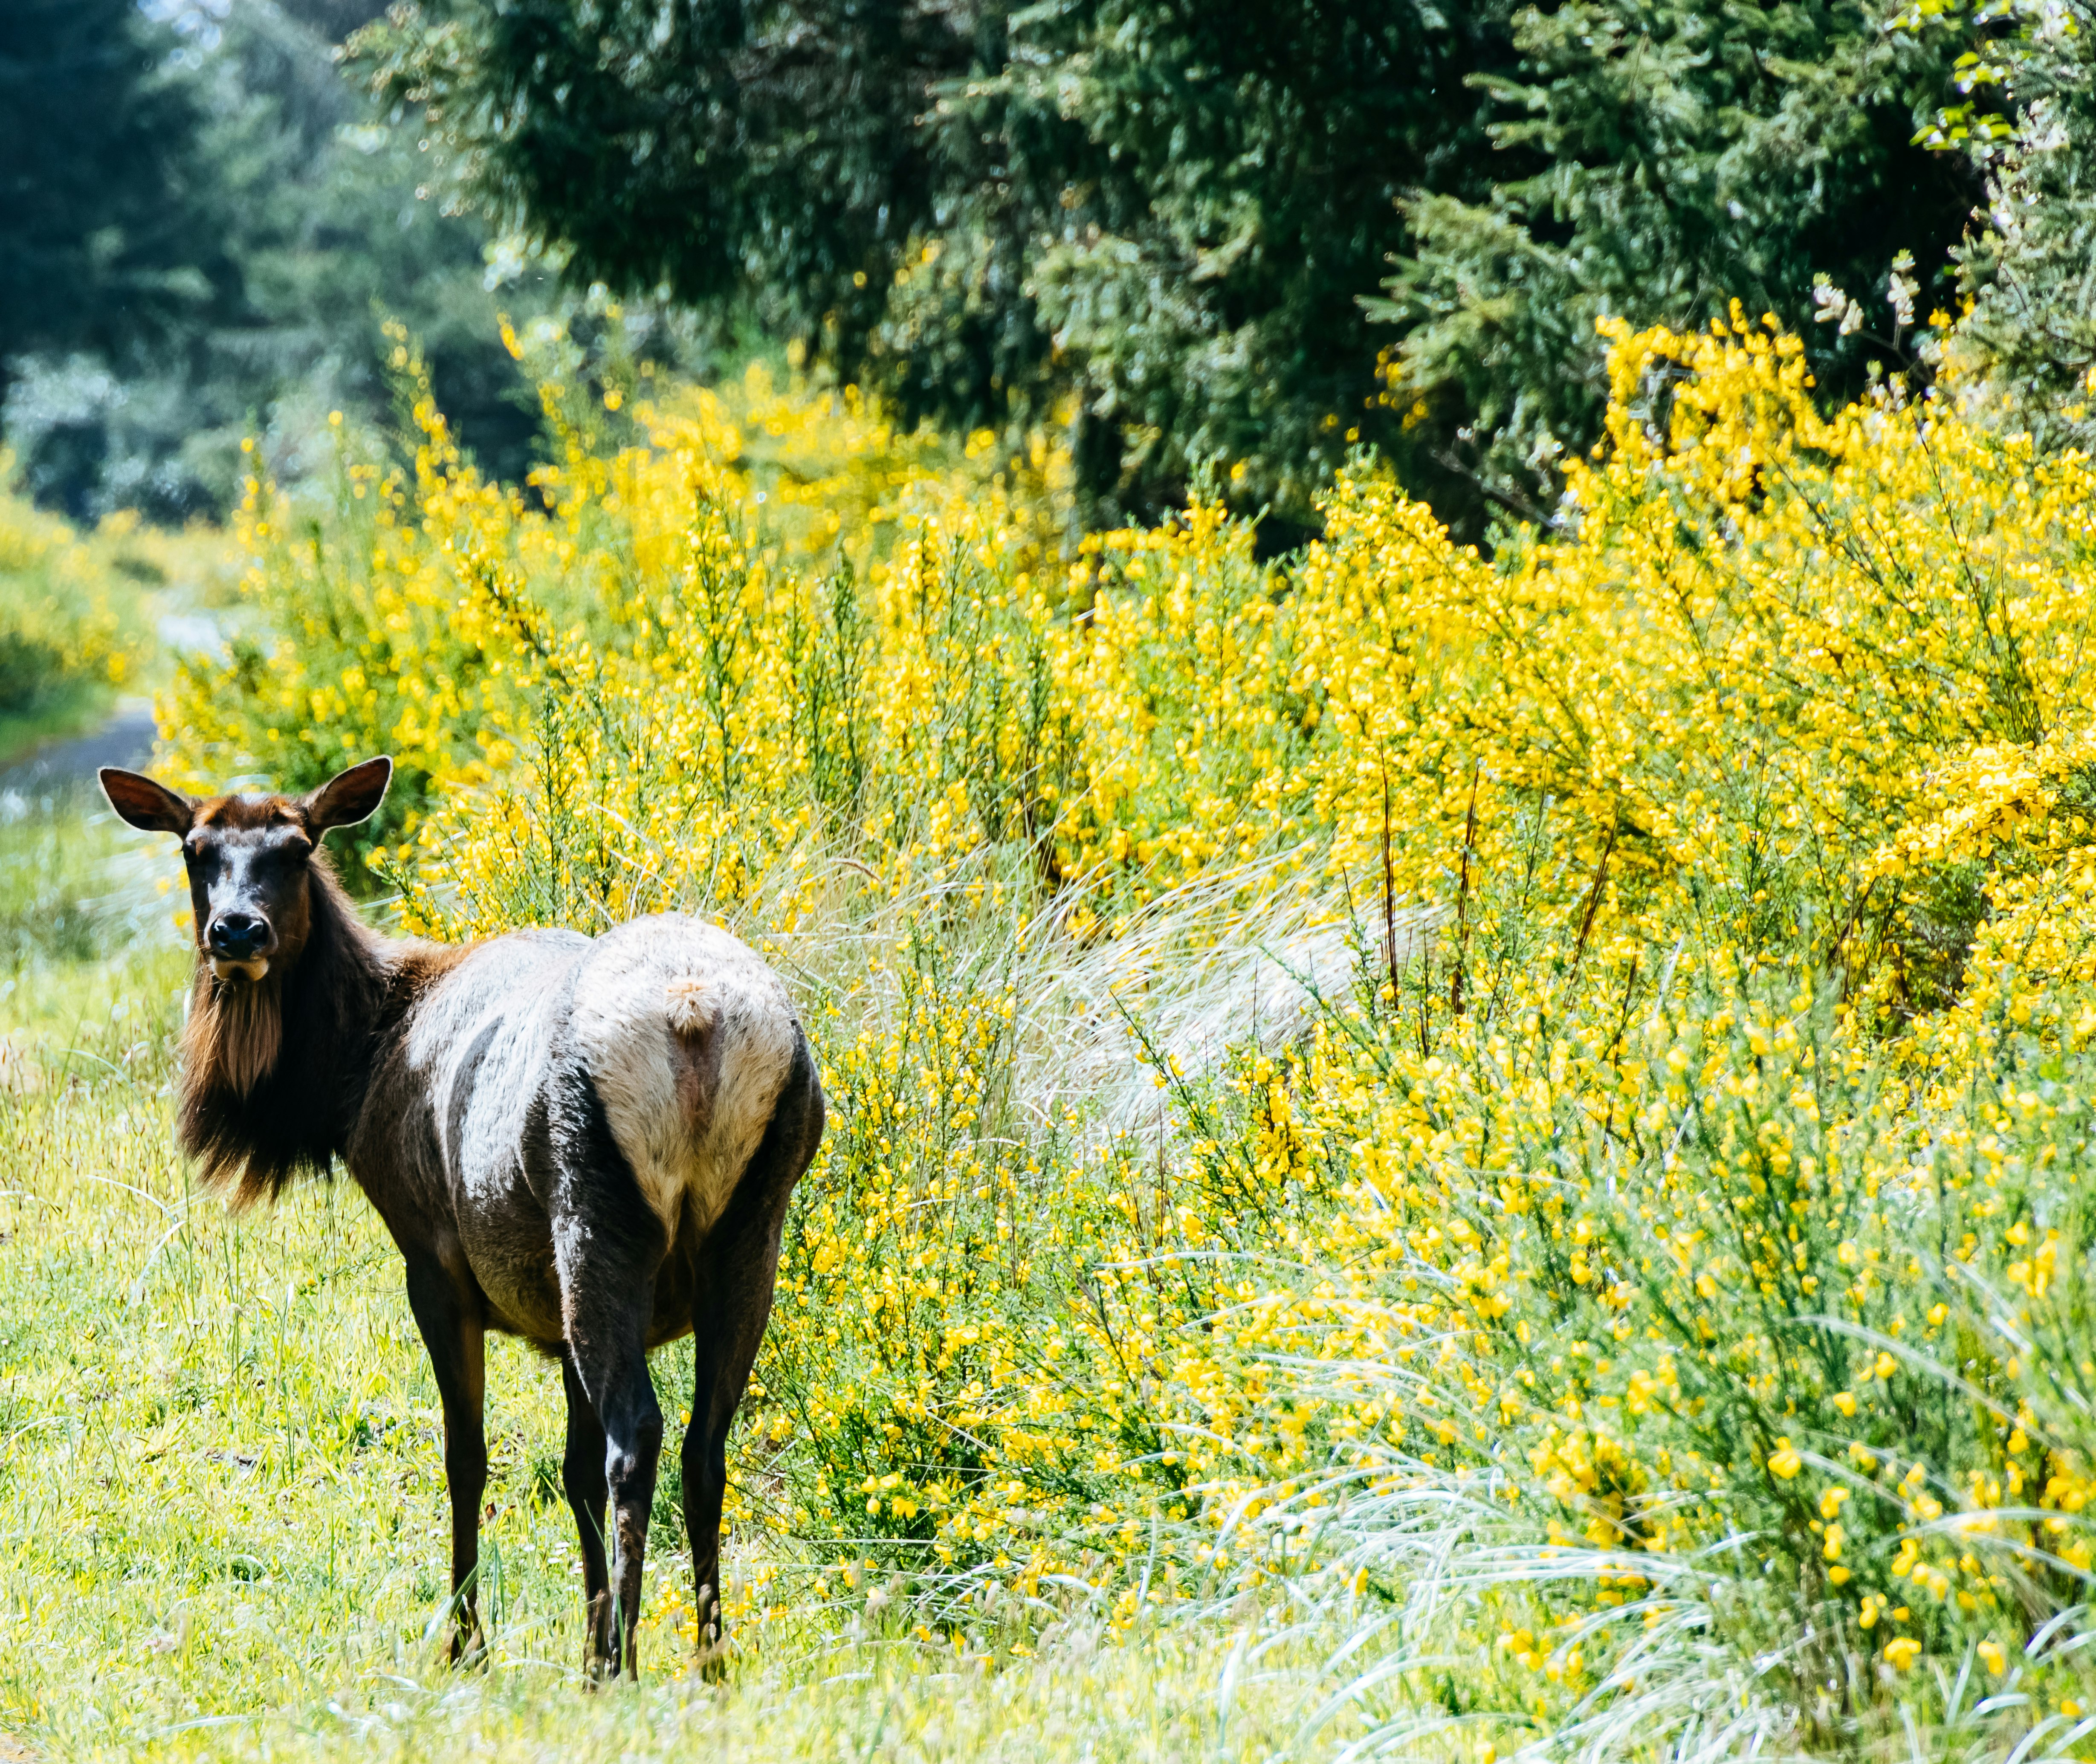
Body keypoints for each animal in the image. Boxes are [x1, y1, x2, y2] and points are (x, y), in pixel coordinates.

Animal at [104, 750, 825, 1667]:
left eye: (298, 849)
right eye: (197, 850)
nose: (237, 932)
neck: (352, 1076)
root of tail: (692, 1015)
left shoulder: (433, 1257)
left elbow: (468, 1456)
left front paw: (466, 1644)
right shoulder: (548, 1311)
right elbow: (571, 1470)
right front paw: (581, 1640)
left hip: (592, 1208)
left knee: (639, 1435)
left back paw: (628, 1663)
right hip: (753, 1220)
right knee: (703, 1444)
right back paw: (708, 1663)